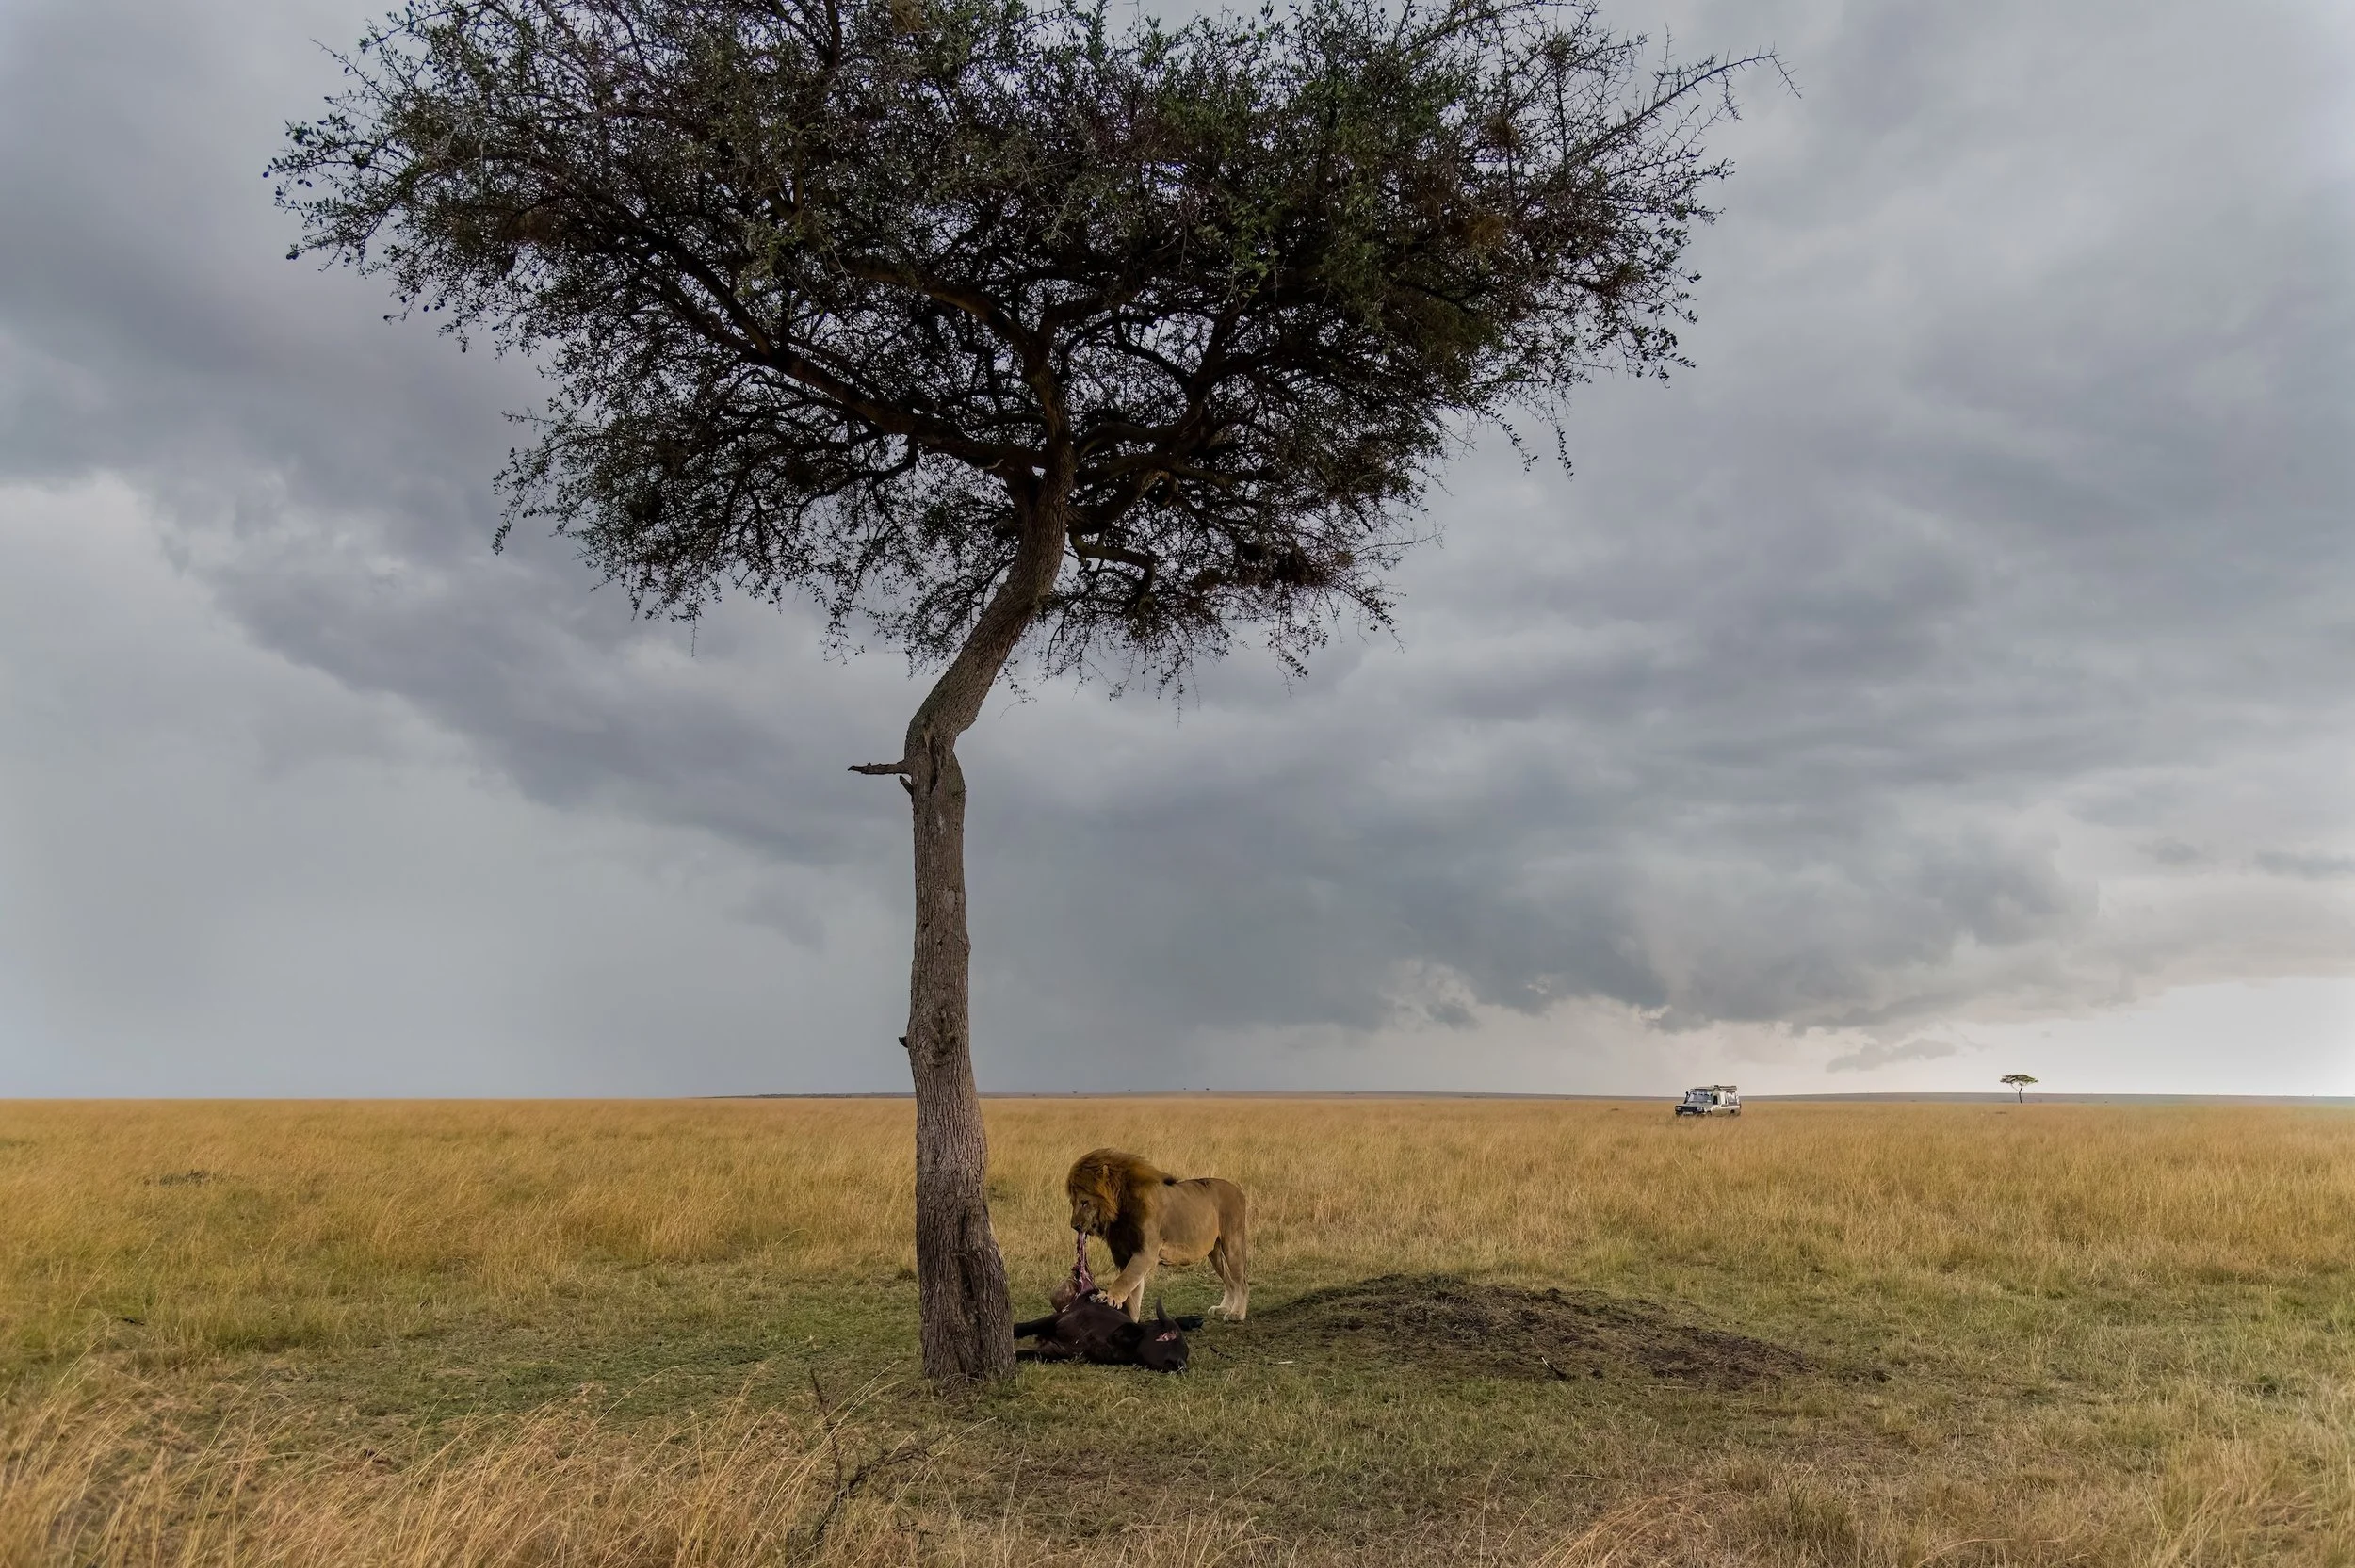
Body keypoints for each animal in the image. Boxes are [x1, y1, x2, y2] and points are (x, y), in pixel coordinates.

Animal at [1064, 1147, 1249, 1323]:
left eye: (1084, 1202)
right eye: (1073, 1202)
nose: (1074, 1226)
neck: (1119, 1214)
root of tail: (1238, 1190)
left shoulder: (1146, 1252)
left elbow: (1124, 1280)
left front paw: (1108, 1297)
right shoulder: (1126, 1255)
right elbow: (1133, 1294)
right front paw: (1131, 1320)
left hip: (1232, 1243)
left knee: (1241, 1282)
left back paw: (1237, 1313)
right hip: (1214, 1252)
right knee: (1229, 1281)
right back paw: (1223, 1308)